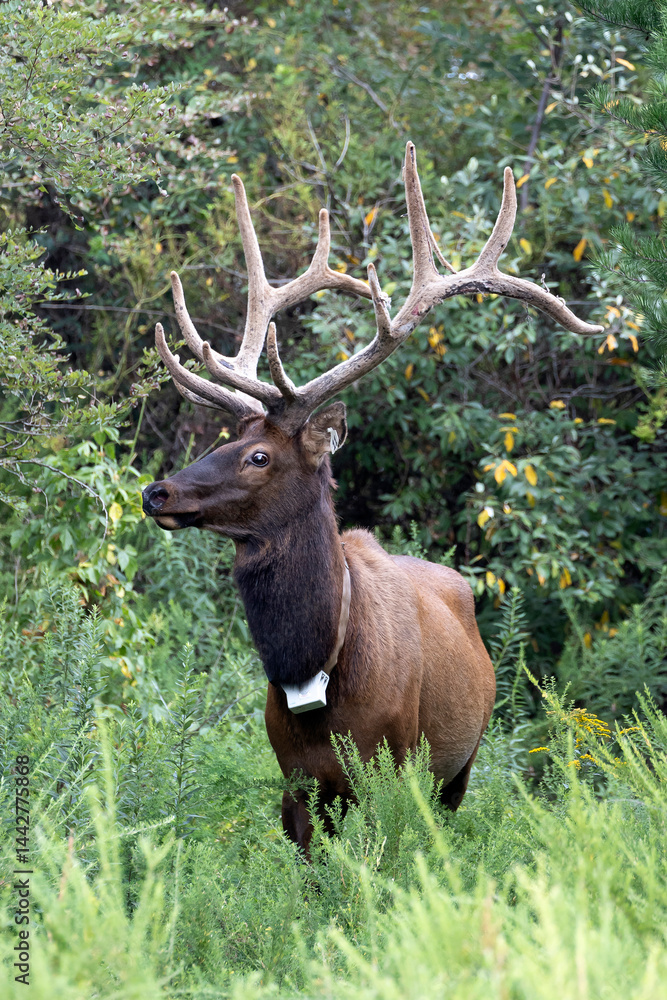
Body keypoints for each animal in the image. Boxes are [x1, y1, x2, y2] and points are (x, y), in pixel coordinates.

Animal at [142, 142, 603, 854]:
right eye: (229, 437)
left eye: (259, 456)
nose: (156, 491)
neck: (317, 669)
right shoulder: (296, 784)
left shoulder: (395, 766)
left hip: (460, 763)